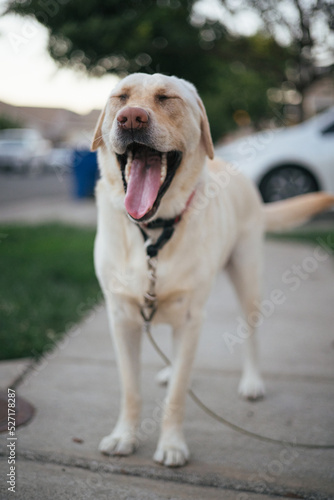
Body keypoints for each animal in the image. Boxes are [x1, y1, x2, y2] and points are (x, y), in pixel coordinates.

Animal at [91, 72, 334, 466]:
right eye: (121, 97)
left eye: (166, 97)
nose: (131, 118)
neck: (154, 235)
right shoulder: (122, 316)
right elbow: (131, 389)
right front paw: (124, 436)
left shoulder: (191, 315)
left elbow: (176, 397)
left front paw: (172, 444)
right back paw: (171, 370)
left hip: (247, 279)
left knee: (251, 336)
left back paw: (251, 382)